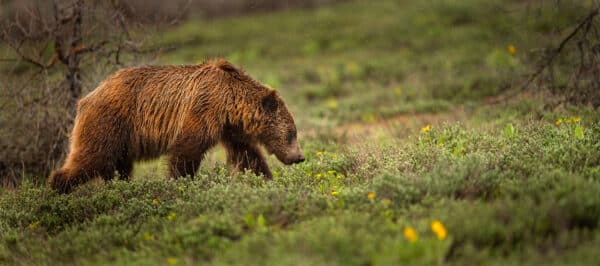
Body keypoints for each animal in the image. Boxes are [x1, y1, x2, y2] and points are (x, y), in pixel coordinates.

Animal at [48, 59, 304, 193]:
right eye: (292, 133)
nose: (300, 157)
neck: (229, 103)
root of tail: (86, 98)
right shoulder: (203, 109)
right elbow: (186, 151)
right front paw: (180, 183)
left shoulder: (229, 129)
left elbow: (247, 155)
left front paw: (266, 180)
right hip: (108, 122)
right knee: (91, 158)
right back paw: (57, 189)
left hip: (122, 138)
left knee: (120, 166)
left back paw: (119, 187)